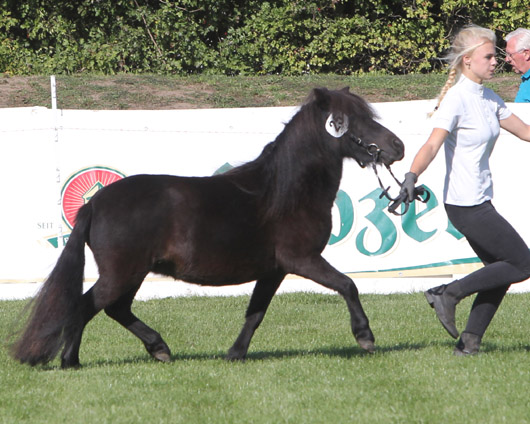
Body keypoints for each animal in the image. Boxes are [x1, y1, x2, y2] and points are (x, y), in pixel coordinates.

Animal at [11, 87, 400, 368]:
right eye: (351, 120)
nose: (397, 146)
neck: (285, 191)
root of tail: (94, 203)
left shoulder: (273, 270)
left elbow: (256, 313)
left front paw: (235, 354)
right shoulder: (302, 260)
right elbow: (348, 285)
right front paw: (365, 337)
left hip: (132, 274)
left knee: (114, 309)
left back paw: (159, 349)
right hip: (122, 274)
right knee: (85, 306)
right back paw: (71, 361)